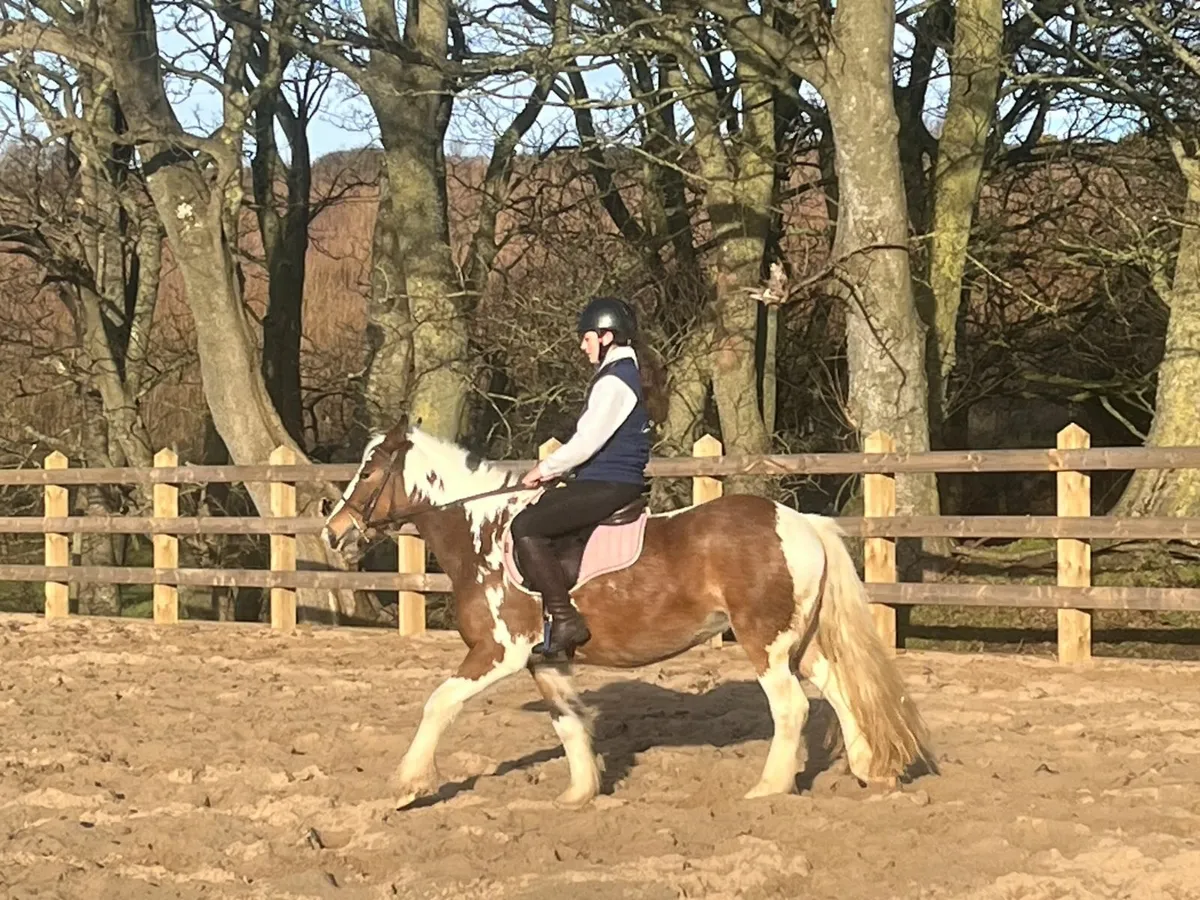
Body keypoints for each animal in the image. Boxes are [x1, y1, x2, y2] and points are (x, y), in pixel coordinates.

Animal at [320, 416, 936, 809]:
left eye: (369, 471)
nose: (333, 533)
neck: (484, 534)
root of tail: (799, 520)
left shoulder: (499, 651)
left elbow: (438, 704)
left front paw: (407, 786)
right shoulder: (544, 660)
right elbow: (569, 721)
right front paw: (579, 794)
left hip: (765, 642)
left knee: (792, 709)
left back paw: (769, 789)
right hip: (795, 643)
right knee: (837, 689)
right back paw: (869, 772)